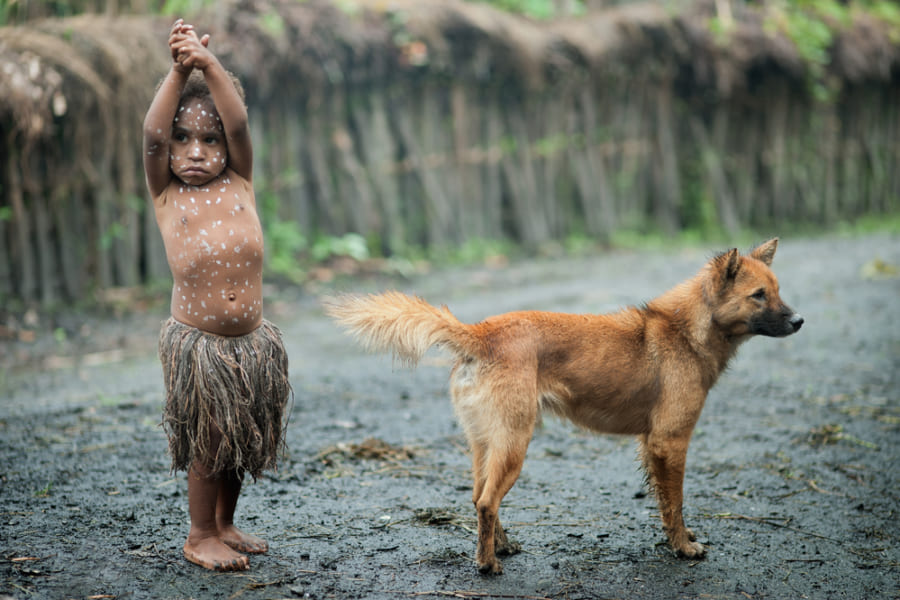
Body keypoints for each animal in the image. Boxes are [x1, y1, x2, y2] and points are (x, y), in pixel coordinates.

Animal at [324, 238, 800, 572]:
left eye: (777, 290)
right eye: (759, 295)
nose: (799, 321)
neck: (685, 332)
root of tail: (480, 333)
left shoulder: (653, 446)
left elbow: (665, 505)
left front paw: (675, 541)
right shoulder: (671, 442)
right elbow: (676, 504)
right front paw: (683, 548)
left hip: (486, 445)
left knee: (478, 497)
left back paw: (501, 546)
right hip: (514, 445)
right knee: (486, 502)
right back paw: (487, 564)